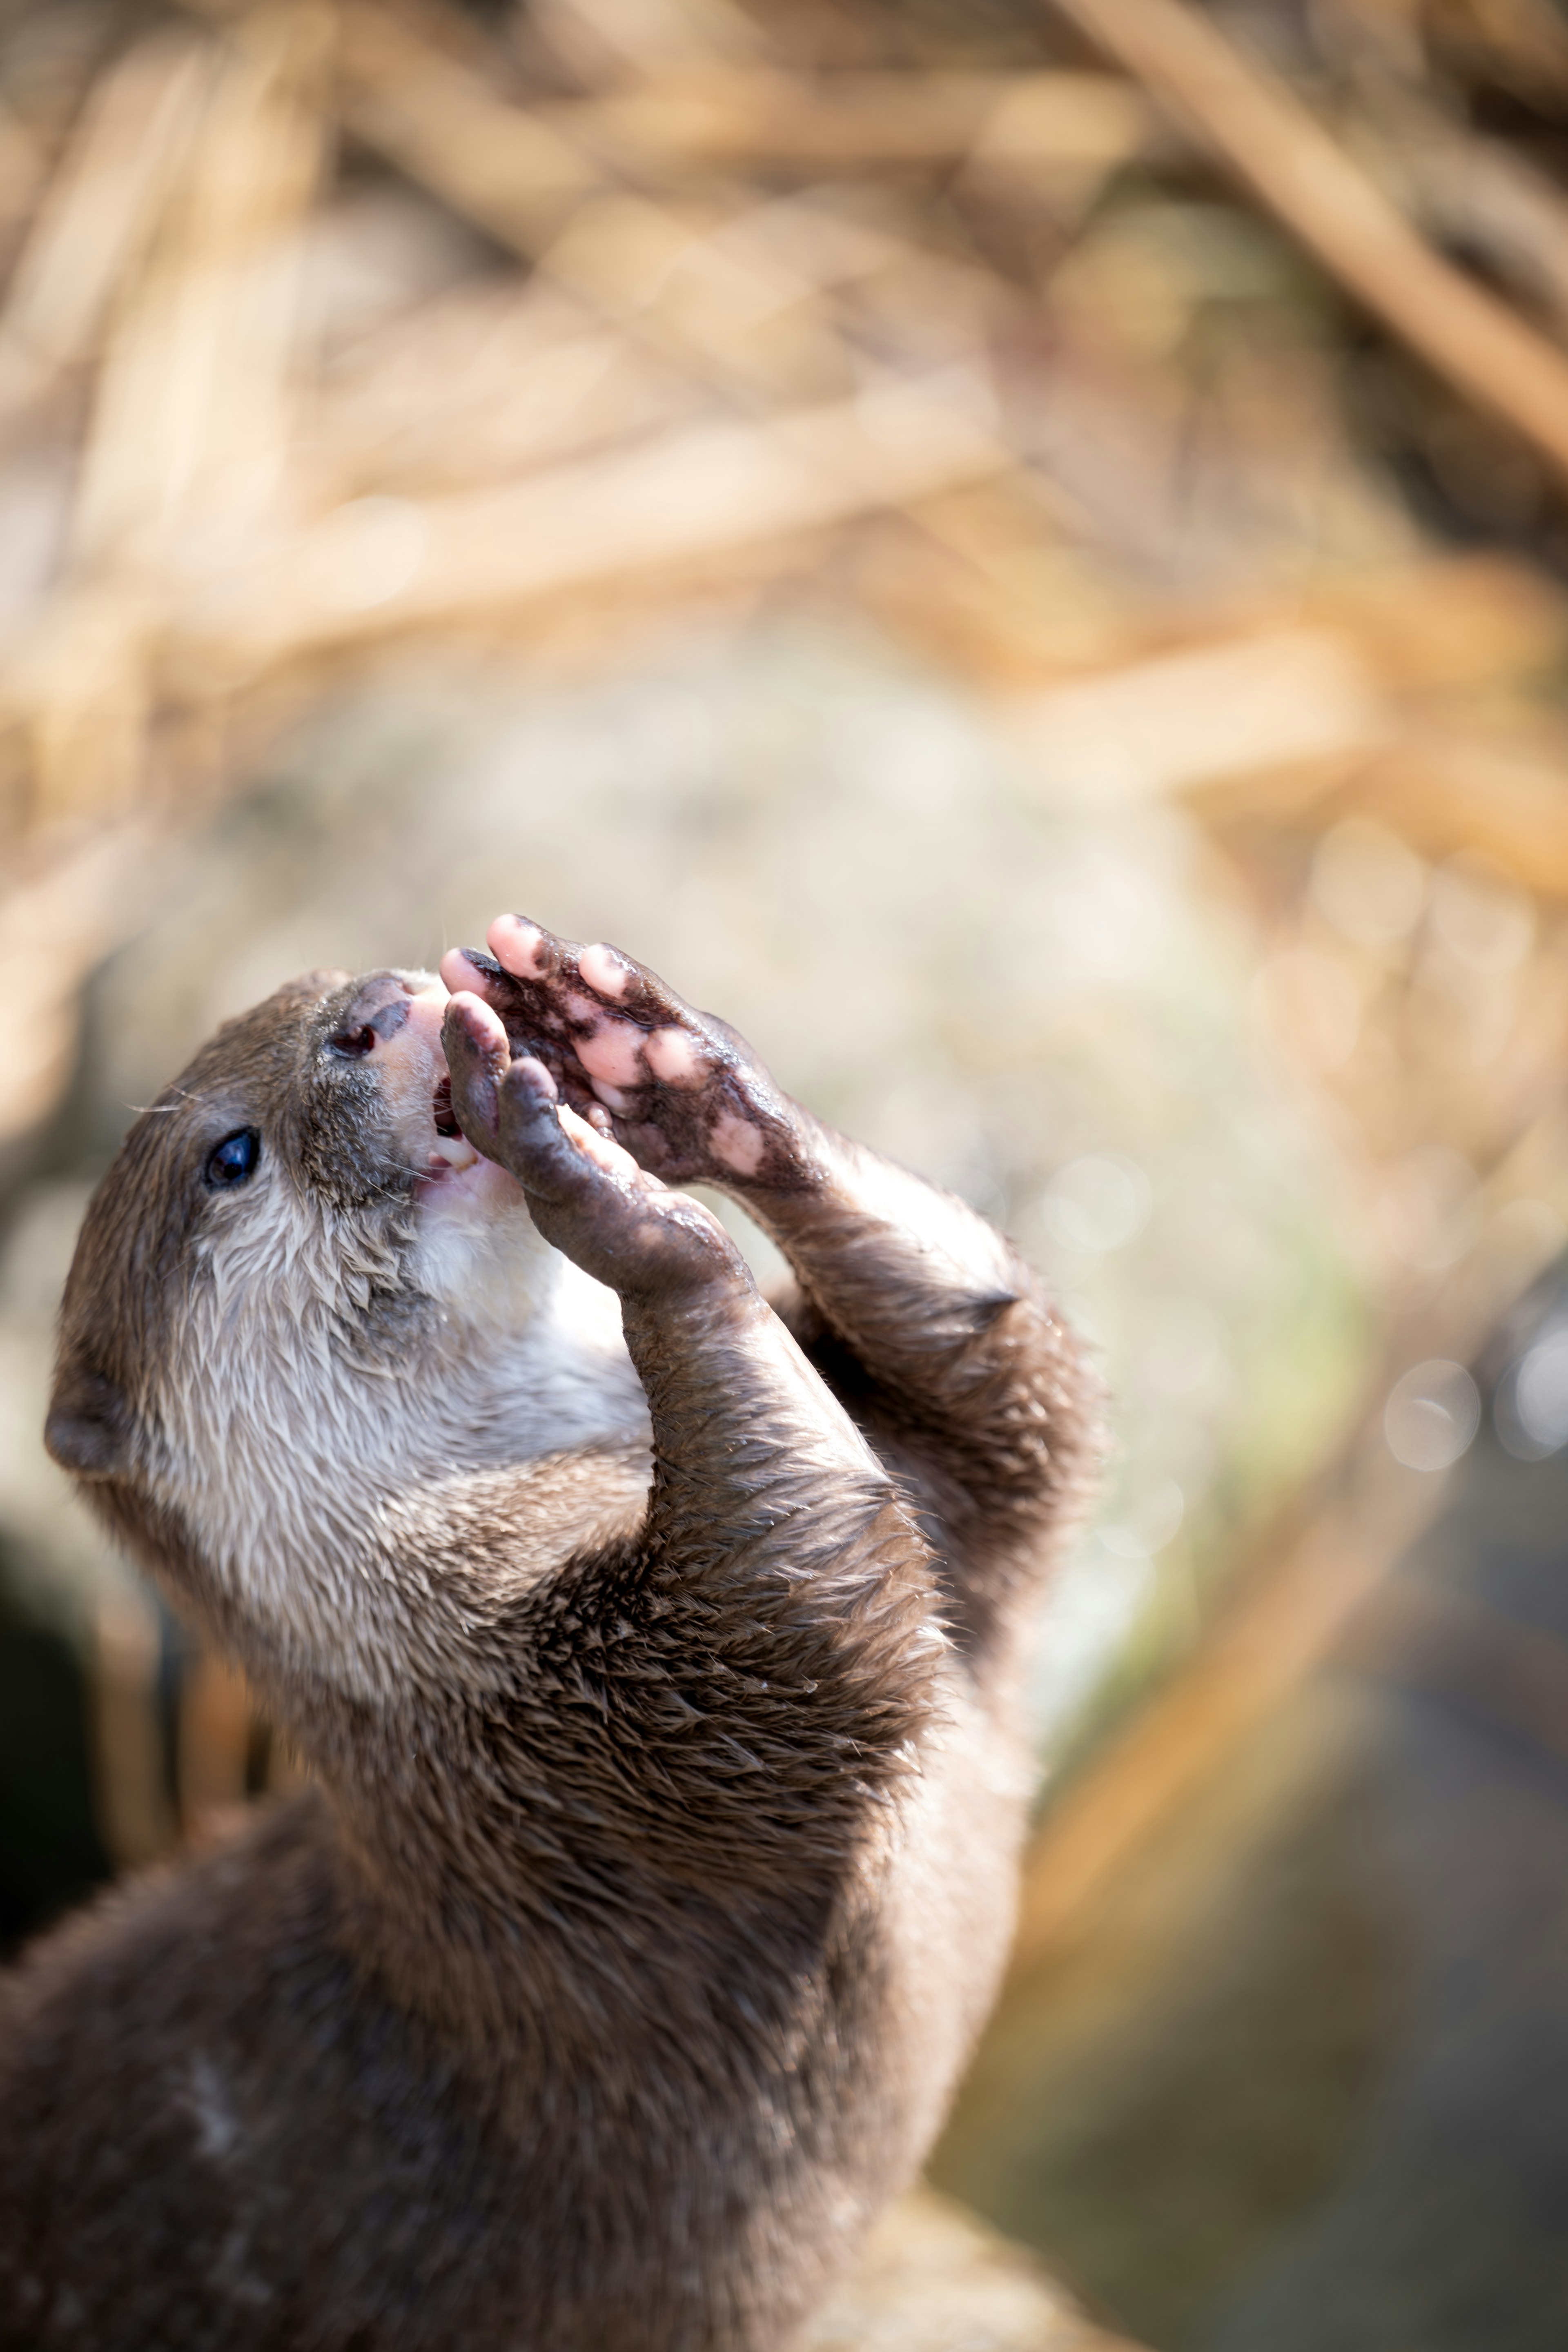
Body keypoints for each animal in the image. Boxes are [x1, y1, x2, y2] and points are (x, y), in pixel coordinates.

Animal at [0, 917, 1100, 2352]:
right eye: (230, 1157)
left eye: (323, 987)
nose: (374, 1007)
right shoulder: (593, 1754)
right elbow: (798, 1605)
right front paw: (608, 1201)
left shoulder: (964, 1498)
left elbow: (1008, 1369)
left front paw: (674, 1075)